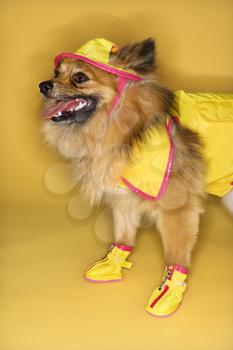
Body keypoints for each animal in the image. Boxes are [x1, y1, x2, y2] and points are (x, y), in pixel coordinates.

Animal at [38, 38, 233, 318]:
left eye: (80, 77)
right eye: (56, 73)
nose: (43, 85)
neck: (123, 126)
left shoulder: (177, 210)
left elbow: (175, 256)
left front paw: (168, 294)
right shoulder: (124, 199)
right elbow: (123, 236)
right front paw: (112, 265)